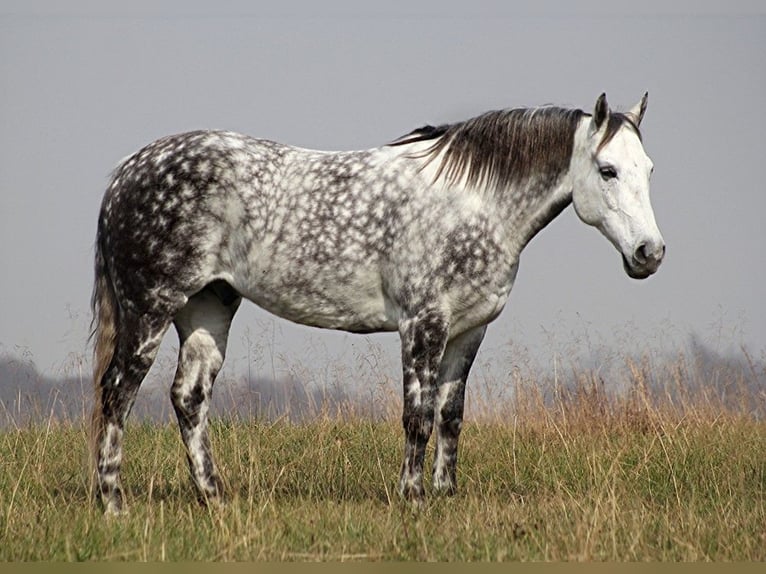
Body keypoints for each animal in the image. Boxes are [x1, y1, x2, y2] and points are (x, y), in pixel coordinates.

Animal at [90, 92, 664, 516]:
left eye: (649, 169)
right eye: (608, 170)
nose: (649, 253)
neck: (474, 203)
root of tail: (126, 172)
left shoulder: (468, 331)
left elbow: (450, 415)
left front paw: (445, 495)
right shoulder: (423, 324)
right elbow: (418, 416)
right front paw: (413, 499)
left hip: (207, 308)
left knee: (188, 398)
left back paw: (214, 498)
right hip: (150, 309)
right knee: (117, 393)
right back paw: (113, 502)